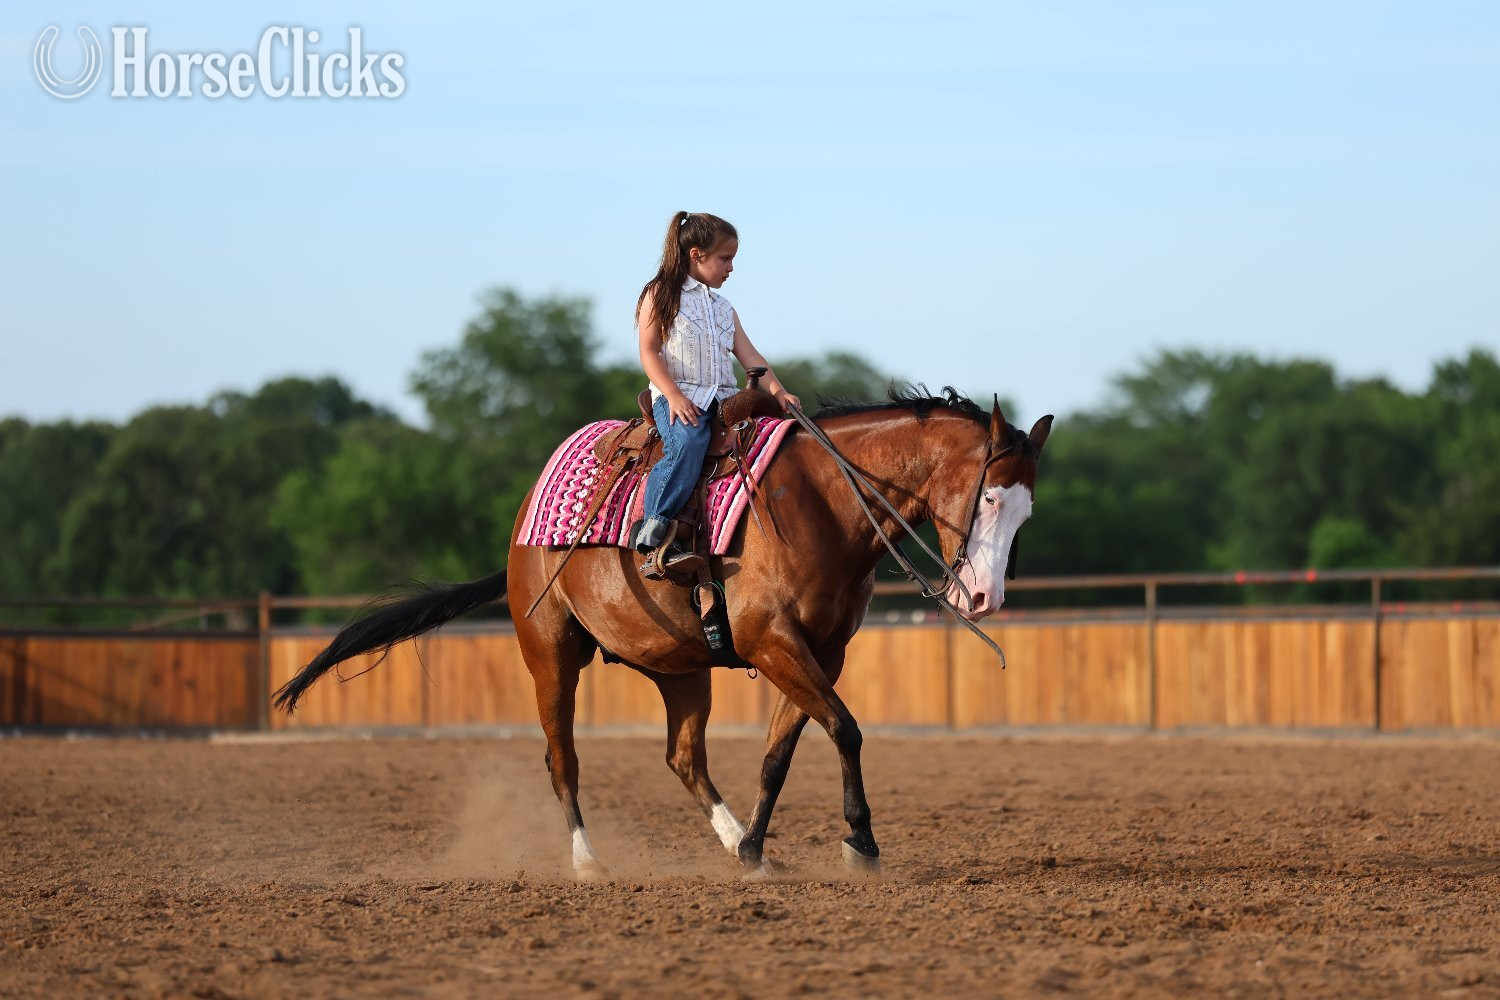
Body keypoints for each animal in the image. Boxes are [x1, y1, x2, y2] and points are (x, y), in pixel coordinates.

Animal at [274, 387, 1052, 878]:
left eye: (1027, 510)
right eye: (987, 496)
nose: (983, 597)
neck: (822, 504)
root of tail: (526, 518)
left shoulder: (819, 652)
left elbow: (780, 752)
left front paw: (757, 852)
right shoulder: (773, 641)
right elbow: (845, 729)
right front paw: (860, 842)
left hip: (679, 669)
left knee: (684, 758)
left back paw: (735, 842)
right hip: (550, 654)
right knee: (563, 758)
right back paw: (587, 861)